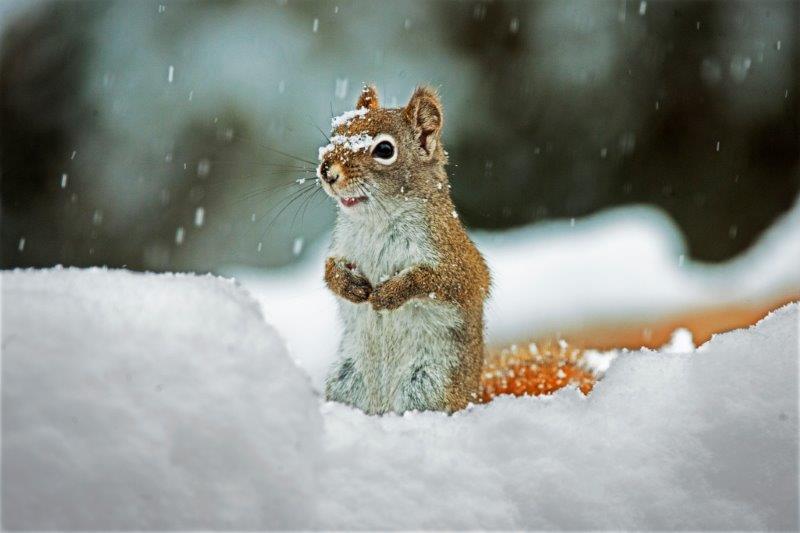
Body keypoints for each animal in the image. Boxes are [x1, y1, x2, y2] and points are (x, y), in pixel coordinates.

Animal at [317, 84, 490, 415]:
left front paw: (391, 293)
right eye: (335, 133)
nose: (326, 170)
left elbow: (440, 280)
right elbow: (330, 270)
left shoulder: (455, 258)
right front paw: (350, 286)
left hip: (431, 384)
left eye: (385, 150)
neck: (376, 222)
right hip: (346, 381)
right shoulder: (342, 246)